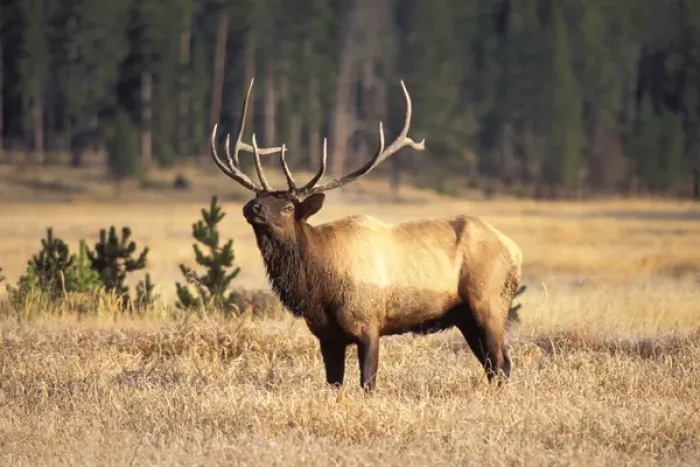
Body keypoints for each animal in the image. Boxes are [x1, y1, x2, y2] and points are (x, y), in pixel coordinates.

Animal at [209, 78, 524, 391]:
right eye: (257, 196)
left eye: (288, 207)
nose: (252, 207)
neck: (319, 287)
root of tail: (515, 250)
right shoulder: (327, 335)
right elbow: (334, 383)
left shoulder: (368, 323)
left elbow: (367, 383)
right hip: (465, 317)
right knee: (493, 365)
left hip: (490, 303)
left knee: (502, 362)